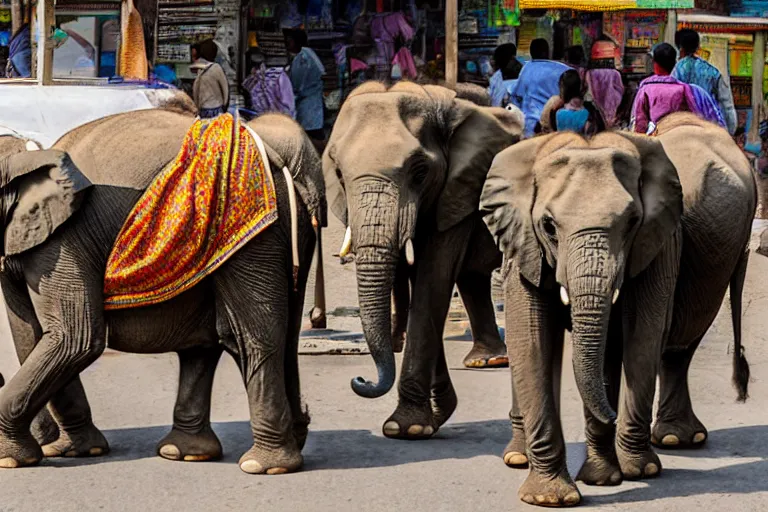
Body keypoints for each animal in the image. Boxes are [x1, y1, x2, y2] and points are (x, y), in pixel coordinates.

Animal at [0, 109, 326, 476]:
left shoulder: (62, 243)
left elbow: (74, 339)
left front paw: (9, 458)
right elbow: (30, 335)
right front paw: (75, 451)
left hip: (255, 236)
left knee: (254, 337)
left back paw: (262, 465)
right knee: (218, 341)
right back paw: (186, 452)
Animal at [320, 81, 524, 440]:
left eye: (419, 172)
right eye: (340, 174)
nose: (360, 380)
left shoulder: (457, 187)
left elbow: (432, 279)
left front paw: (407, 427)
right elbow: (418, 280)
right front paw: (437, 413)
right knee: (471, 278)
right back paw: (485, 361)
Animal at [480, 113, 756, 508]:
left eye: (631, 223)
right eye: (548, 226)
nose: (609, 415)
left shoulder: (658, 239)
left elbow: (641, 334)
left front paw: (633, 473)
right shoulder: (523, 241)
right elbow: (531, 340)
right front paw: (550, 498)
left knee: (679, 342)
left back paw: (672, 440)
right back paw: (519, 457)